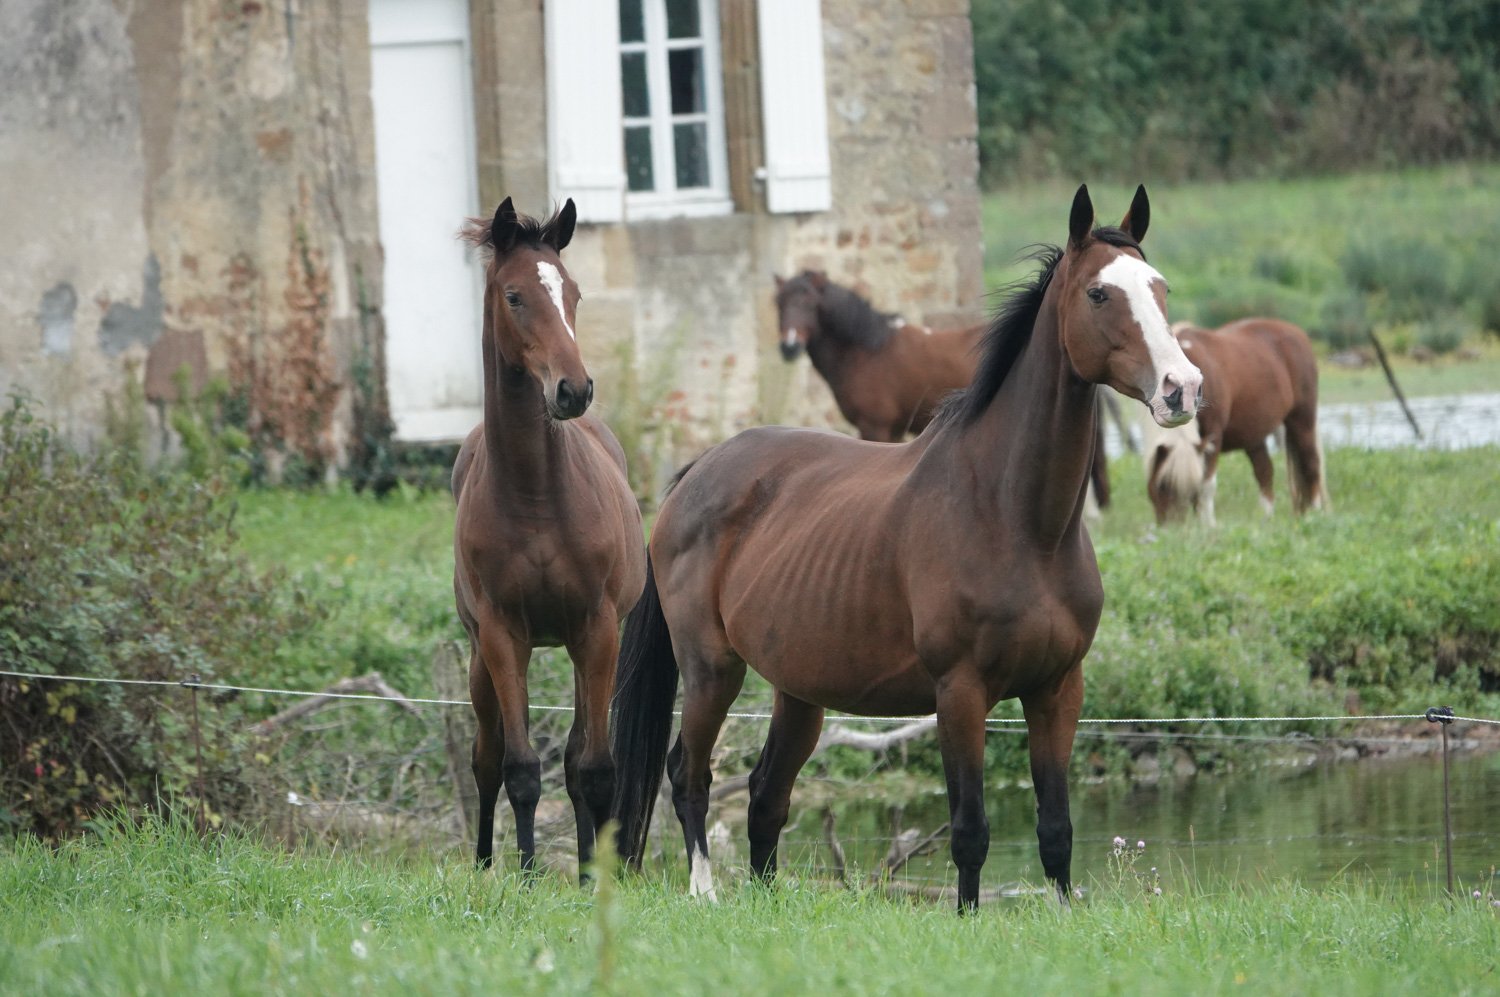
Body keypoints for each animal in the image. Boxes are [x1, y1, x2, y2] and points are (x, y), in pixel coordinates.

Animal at [451, 197, 646, 877]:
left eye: (574, 293)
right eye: (514, 296)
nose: (573, 388)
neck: (535, 495)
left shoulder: (598, 628)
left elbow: (592, 767)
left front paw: (592, 877)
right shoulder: (503, 635)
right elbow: (519, 768)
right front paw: (529, 874)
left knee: (576, 754)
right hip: (482, 656)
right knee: (485, 758)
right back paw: (486, 863)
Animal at [775, 271, 1114, 507]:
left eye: (808, 303)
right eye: (778, 303)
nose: (788, 348)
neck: (868, 352)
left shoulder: (876, 427)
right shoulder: (892, 431)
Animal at [1147, 318, 1329, 525]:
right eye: (1160, 486)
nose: (1173, 529)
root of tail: (1297, 333)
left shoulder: (1213, 436)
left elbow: (1206, 485)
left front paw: (1208, 525)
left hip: (1302, 420)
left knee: (1311, 465)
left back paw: (1314, 515)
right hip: (1254, 434)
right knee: (1265, 471)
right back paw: (1266, 520)